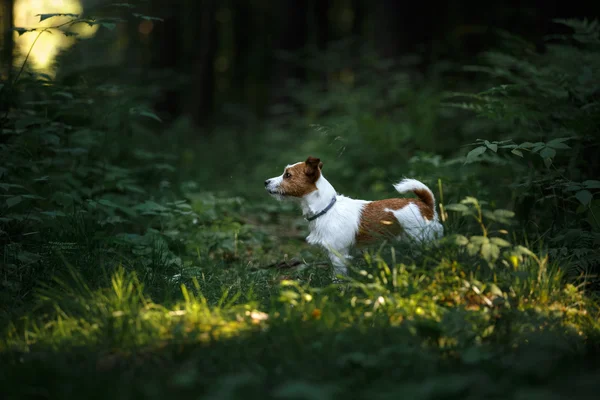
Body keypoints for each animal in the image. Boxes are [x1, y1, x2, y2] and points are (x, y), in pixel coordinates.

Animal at [264, 156, 442, 278]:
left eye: (287, 175)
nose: (265, 182)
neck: (326, 209)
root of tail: (425, 205)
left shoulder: (339, 255)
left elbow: (338, 277)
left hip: (423, 240)